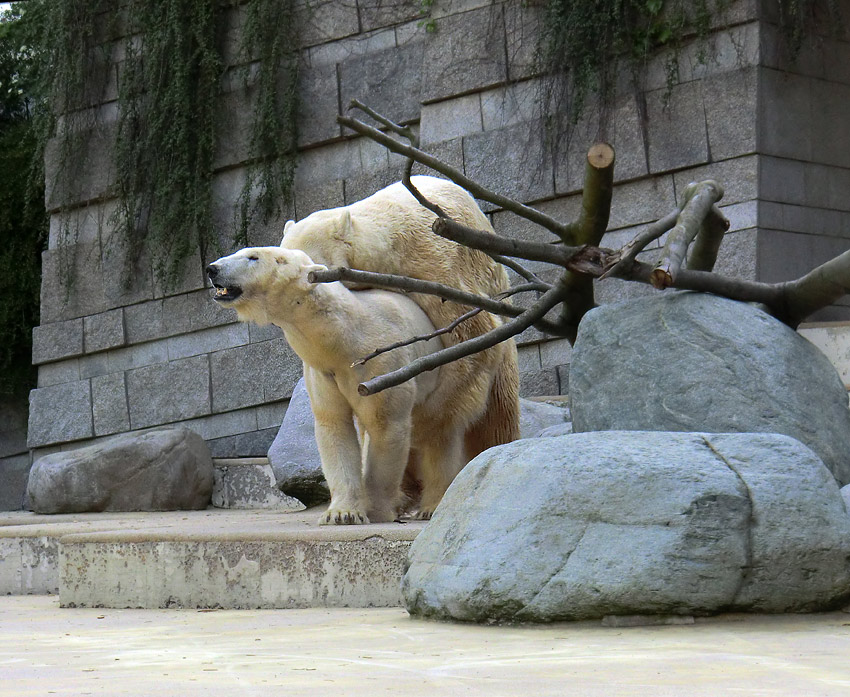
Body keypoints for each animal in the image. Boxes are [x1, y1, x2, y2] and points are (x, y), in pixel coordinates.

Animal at [207, 245, 470, 520]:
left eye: (253, 257)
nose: (212, 268)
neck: (346, 338)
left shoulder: (383, 366)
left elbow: (385, 425)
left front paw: (376, 510)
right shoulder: (324, 372)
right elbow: (334, 426)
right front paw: (342, 513)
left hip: (445, 376)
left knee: (439, 432)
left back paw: (431, 505)